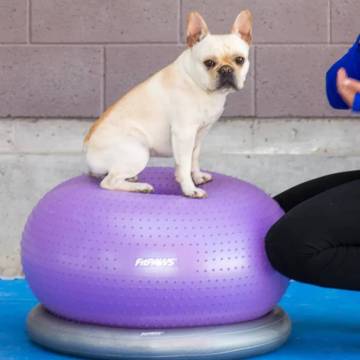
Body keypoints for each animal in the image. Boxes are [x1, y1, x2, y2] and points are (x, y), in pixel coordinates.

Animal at [84, 9, 253, 198]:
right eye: (209, 63)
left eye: (240, 60)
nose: (226, 69)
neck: (198, 85)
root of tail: (88, 148)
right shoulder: (184, 133)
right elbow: (184, 164)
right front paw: (190, 189)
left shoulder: (199, 134)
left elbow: (194, 157)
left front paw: (197, 177)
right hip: (138, 151)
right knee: (108, 182)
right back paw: (140, 187)